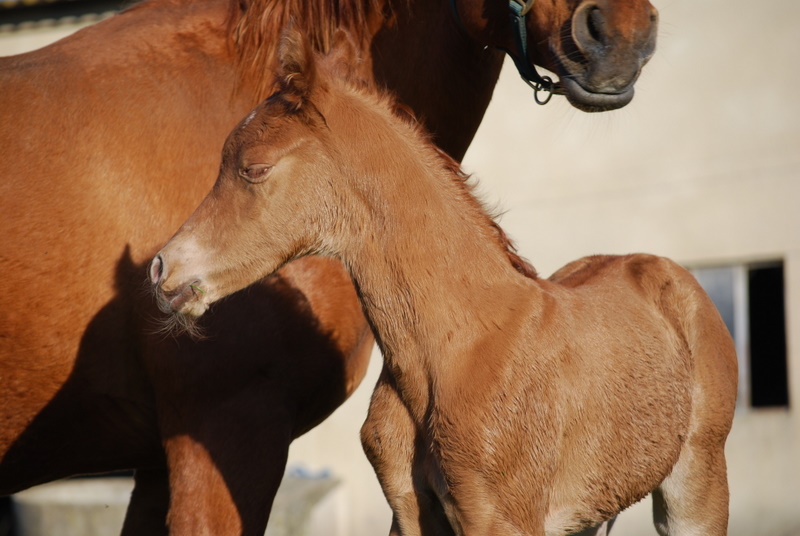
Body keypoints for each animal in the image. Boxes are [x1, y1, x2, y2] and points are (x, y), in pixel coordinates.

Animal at [150, 34, 736, 536]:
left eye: (253, 169)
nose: (160, 270)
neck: (453, 350)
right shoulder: (409, 511)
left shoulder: (502, 518)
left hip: (696, 487)